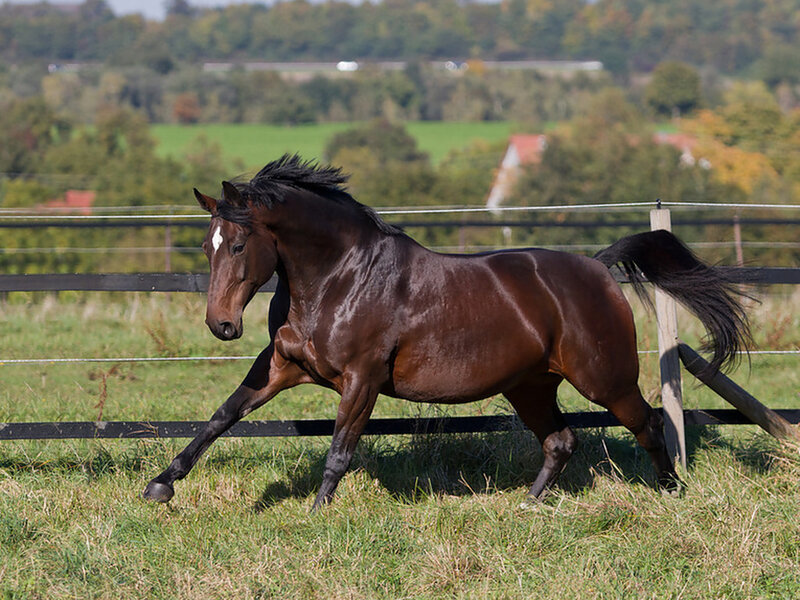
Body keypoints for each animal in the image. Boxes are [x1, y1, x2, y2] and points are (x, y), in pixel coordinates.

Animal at [143, 154, 750, 510]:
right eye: (207, 248)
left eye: (238, 245)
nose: (221, 325)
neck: (339, 278)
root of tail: (598, 269)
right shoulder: (281, 365)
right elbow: (221, 417)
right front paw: (160, 485)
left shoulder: (361, 378)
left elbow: (339, 449)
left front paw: (316, 515)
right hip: (529, 385)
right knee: (560, 440)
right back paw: (526, 506)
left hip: (605, 378)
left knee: (648, 422)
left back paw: (672, 491)